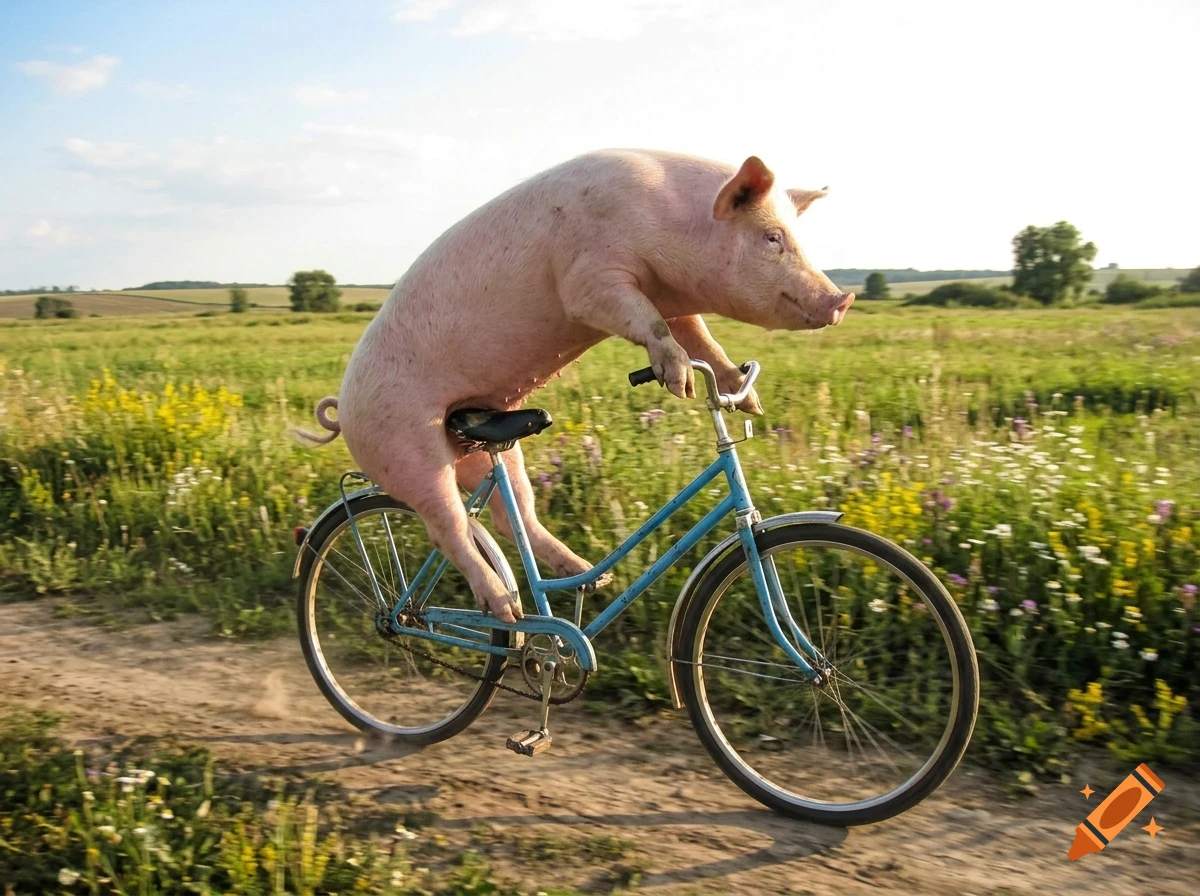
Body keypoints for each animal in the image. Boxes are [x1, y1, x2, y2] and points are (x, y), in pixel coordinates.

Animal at [295, 150, 854, 623]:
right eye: (772, 238)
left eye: (795, 237)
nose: (841, 300)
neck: (670, 223)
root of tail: (343, 409)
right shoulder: (590, 279)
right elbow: (649, 324)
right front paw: (679, 382)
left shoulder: (673, 298)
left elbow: (701, 337)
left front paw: (748, 400)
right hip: (406, 450)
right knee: (449, 527)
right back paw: (506, 611)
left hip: (490, 451)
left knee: (511, 514)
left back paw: (589, 576)